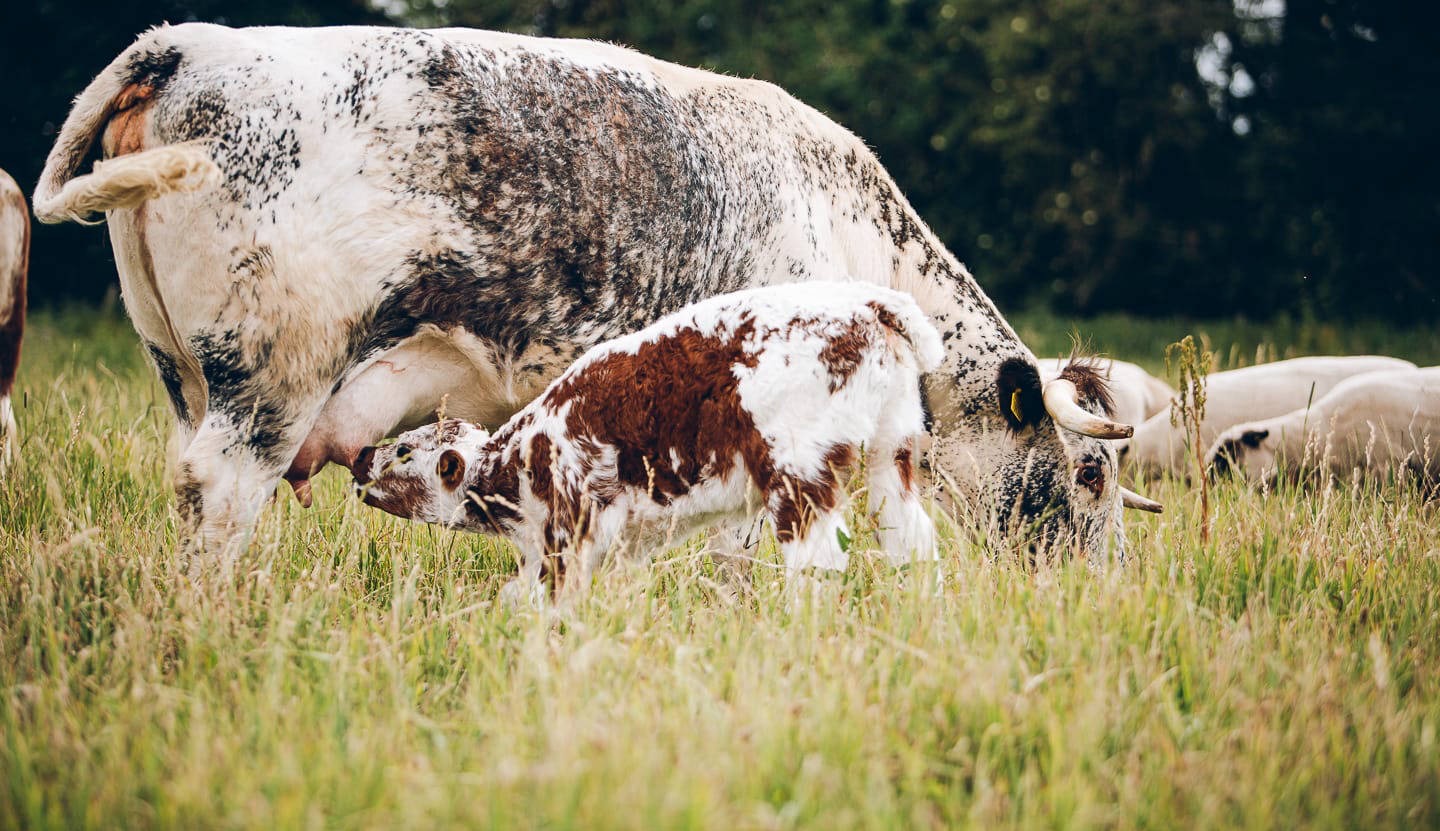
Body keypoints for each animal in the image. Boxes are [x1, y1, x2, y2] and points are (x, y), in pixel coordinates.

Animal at [354, 283, 944, 590]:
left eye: (404, 450)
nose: (362, 457)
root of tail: (871, 303)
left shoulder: (569, 531)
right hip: (892, 449)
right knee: (912, 539)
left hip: (798, 468)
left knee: (819, 559)